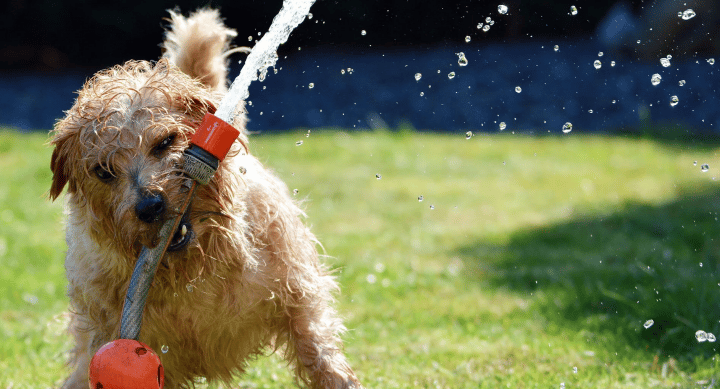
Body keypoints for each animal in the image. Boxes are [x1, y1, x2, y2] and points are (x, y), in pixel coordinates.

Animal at [50, 9, 362, 388]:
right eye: (103, 171)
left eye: (166, 141)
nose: (150, 207)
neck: (192, 270)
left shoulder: (298, 295)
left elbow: (319, 351)